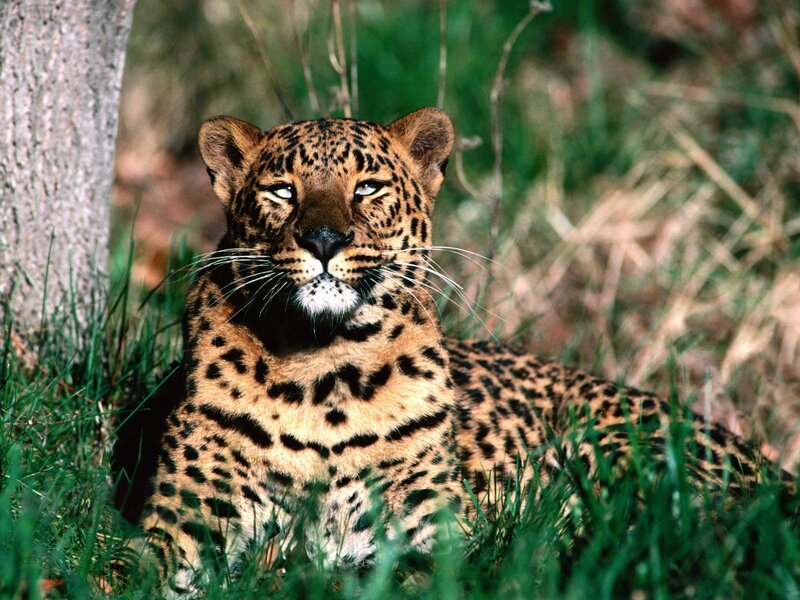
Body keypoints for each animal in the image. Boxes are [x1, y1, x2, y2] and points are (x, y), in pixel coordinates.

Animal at [120, 107, 789, 595]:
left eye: (368, 188)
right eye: (283, 191)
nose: (324, 239)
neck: (319, 372)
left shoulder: (440, 534)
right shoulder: (184, 526)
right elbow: (125, 570)